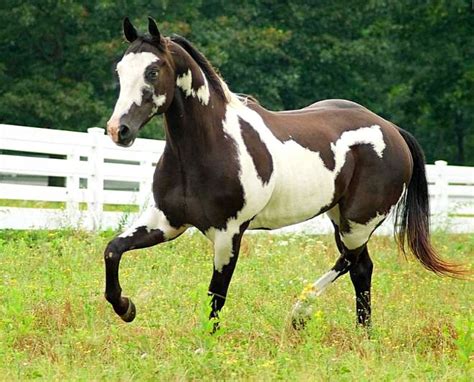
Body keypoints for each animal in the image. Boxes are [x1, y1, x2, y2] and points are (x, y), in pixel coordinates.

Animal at [103, 17, 462, 328]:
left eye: (152, 71)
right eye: (119, 70)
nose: (118, 130)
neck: (209, 146)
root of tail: (392, 130)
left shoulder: (229, 233)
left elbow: (216, 295)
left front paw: (204, 346)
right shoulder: (167, 222)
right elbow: (112, 250)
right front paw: (126, 308)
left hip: (358, 223)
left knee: (350, 261)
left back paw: (301, 313)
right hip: (339, 217)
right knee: (361, 268)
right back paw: (363, 334)